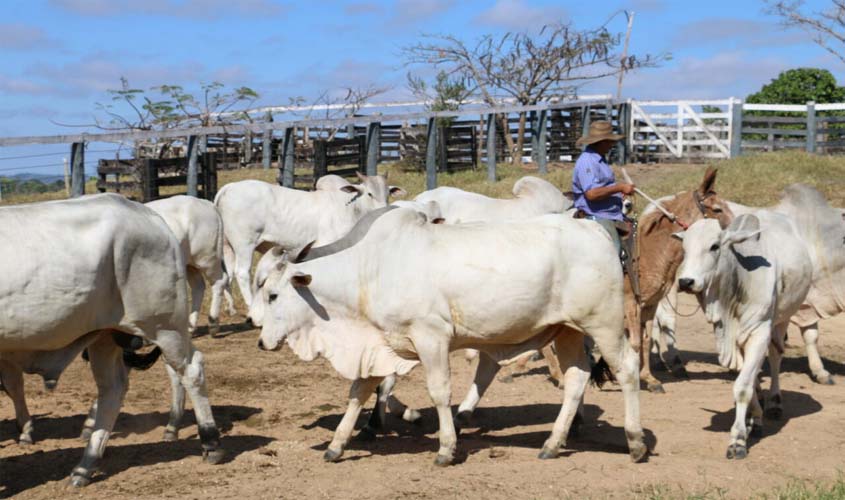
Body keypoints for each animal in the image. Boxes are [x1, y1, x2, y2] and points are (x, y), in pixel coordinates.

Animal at [0, 193, 224, 486]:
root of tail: (150, 216)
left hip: (164, 326)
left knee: (191, 369)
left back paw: (210, 441)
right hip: (105, 337)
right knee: (113, 389)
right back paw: (85, 464)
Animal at [147, 195, 236, 336]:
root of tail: (207, 203)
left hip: (207, 258)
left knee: (219, 281)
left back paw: (213, 322)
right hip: (189, 264)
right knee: (198, 286)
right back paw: (191, 326)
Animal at [214, 175, 406, 308]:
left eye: (388, 194)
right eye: (369, 193)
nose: (384, 211)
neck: (350, 208)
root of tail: (230, 187)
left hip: (227, 246)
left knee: (227, 274)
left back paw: (230, 307)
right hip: (244, 245)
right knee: (241, 273)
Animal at [254, 205, 644, 466]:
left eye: (273, 294)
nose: (261, 342)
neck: (370, 267)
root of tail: (596, 231)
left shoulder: (432, 338)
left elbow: (439, 392)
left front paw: (445, 448)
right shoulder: (380, 345)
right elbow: (358, 392)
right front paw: (337, 445)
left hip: (604, 324)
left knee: (627, 368)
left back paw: (636, 442)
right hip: (567, 331)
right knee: (576, 377)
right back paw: (553, 443)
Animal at [672, 212, 812, 460]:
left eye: (714, 246)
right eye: (684, 248)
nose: (686, 281)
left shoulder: (760, 330)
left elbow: (743, 387)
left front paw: (737, 440)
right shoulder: (726, 336)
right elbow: (748, 381)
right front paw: (753, 421)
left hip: (782, 318)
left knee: (775, 356)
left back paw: (775, 402)